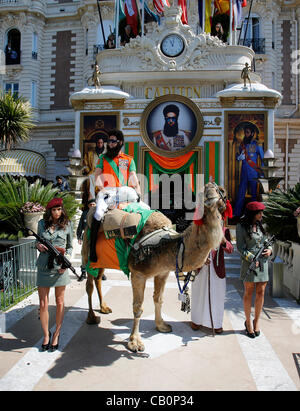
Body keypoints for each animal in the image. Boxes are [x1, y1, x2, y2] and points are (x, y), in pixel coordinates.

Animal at [81, 183, 226, 354]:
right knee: (89, 285)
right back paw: (91, 317)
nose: (211, 191)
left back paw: (104, 307)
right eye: (202, 194)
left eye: (221, 194)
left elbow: (158, 299)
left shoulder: (163, 273)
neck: (166, 245)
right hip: (87, 254)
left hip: (102, 260)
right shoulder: (138, 273)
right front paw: (135, 342)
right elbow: (138, 307)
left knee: (98, 278)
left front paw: (161, 325)